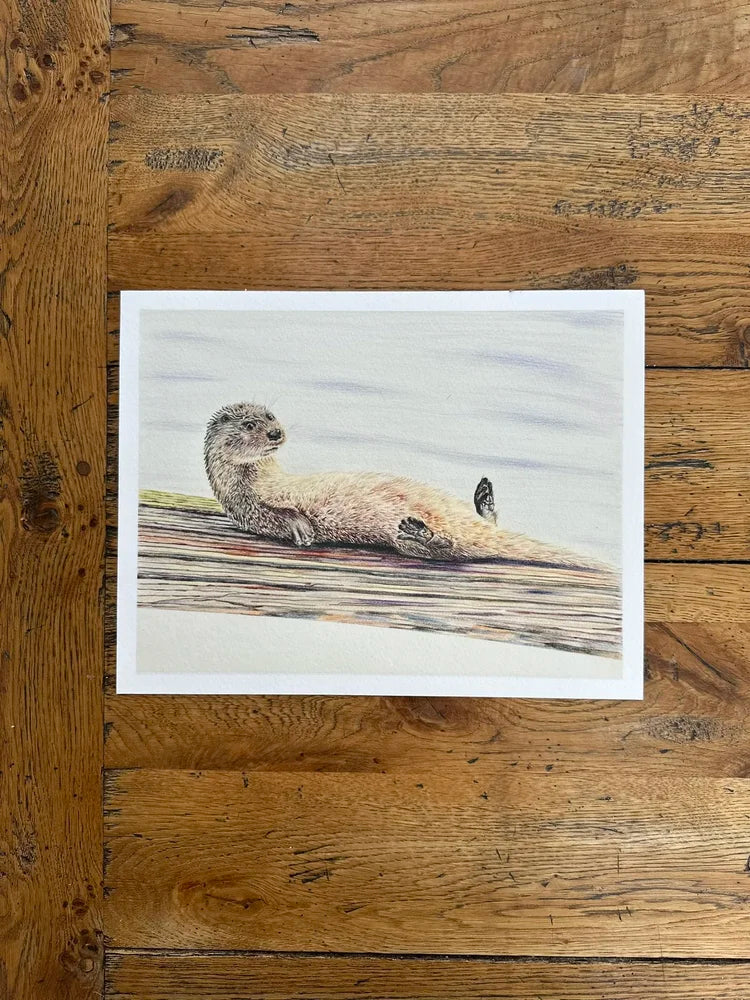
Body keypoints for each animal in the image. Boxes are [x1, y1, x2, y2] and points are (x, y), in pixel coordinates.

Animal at [204, 402, 601, 568]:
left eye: (270, 415)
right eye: (249, 425)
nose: (275, 432)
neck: (264, 477)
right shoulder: (247, 508)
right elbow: (277, 517)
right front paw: (301, 527)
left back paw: (482, 497)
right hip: (410, 542)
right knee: (446, 549)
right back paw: (417, 529)